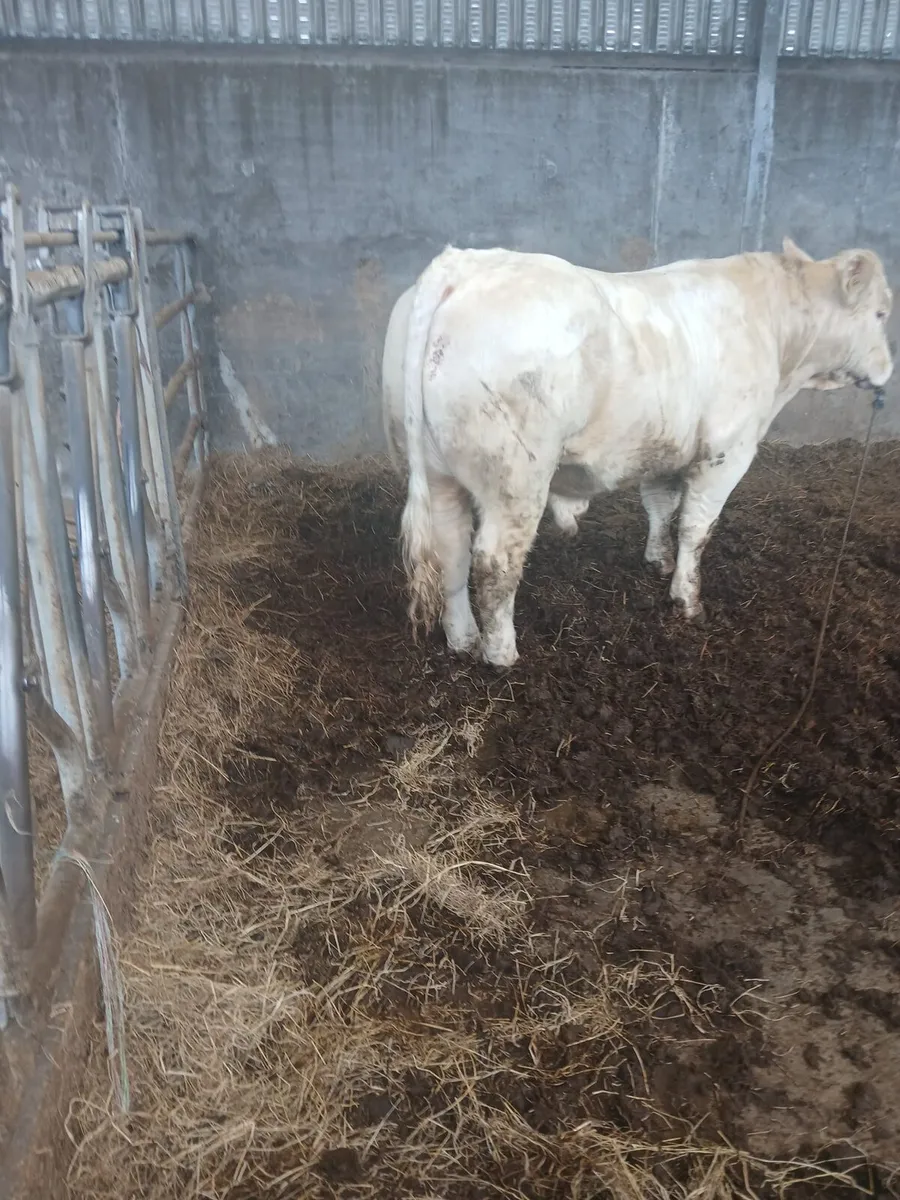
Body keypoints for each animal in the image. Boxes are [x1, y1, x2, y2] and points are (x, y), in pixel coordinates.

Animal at [381, 240, 893, 669]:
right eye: (882, 313)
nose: (888, 369)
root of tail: (462, 264)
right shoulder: (726, 453)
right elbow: (696, 528)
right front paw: (687, 599)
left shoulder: (666, 446)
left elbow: (660, 505)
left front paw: (657, 559)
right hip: (516, 478)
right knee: (495, 562)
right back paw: (501, 654)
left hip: (438, 471)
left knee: (451, 548)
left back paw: (462, 638)